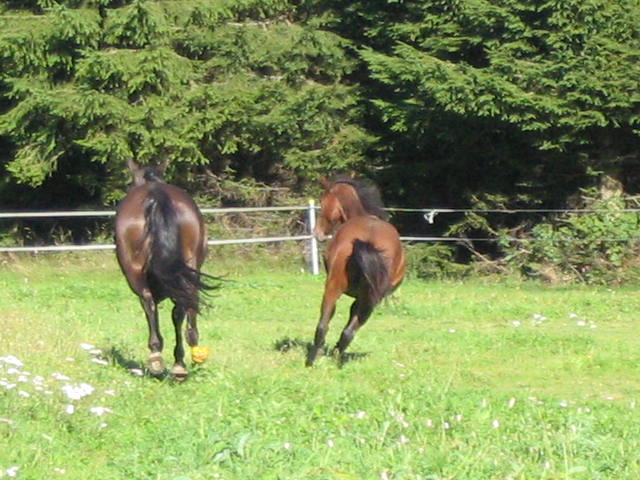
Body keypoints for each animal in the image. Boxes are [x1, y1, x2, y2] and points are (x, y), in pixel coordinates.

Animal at [115, 159, 215, 380]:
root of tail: (156, 195)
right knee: (179, 306)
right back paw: (179, 361)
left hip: (139, 274)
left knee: (151, 303)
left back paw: (160, 357)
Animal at [306, 176, 404, 368]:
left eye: (322, 201)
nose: (317, 233)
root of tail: (367, 240)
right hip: (366, 298)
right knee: (343, 330)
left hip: (335, 289)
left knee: (326, 326)